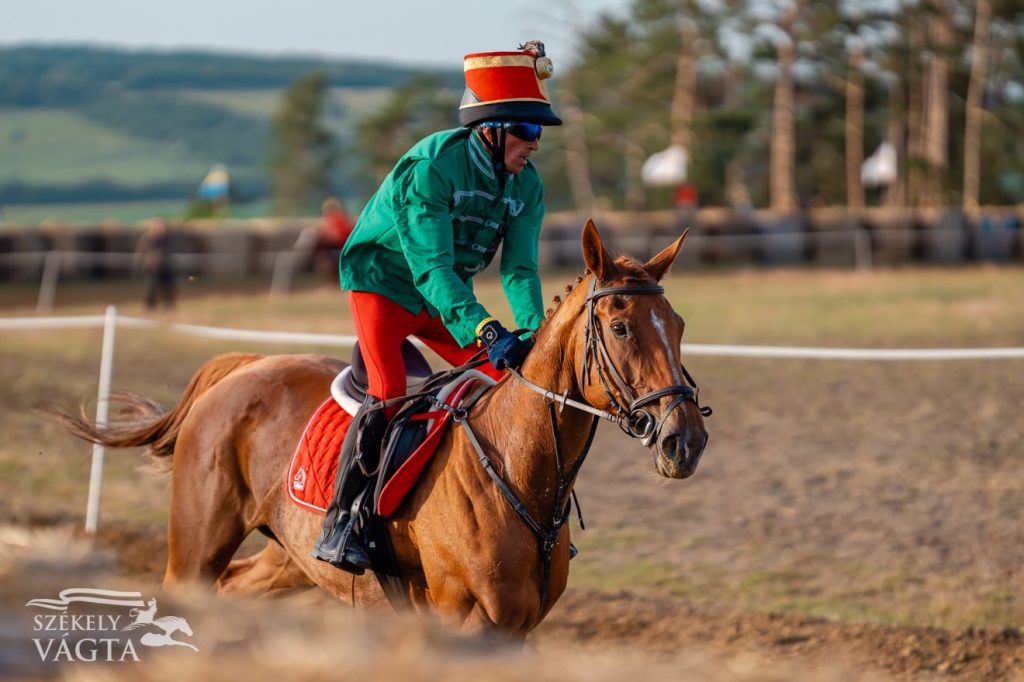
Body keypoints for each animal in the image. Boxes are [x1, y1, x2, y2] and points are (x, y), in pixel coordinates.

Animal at [51, 220, 708, 634]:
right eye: (620, 328)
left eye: (677, 325)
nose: (685, 441)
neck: (519, 472)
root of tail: (243, 366)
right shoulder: (465, 620)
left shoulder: (517, 626)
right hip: (195, 545)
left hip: (290, 557)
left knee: (236, 587)